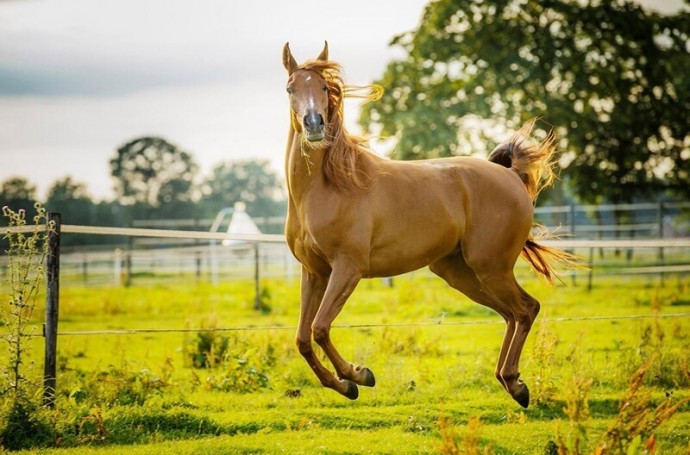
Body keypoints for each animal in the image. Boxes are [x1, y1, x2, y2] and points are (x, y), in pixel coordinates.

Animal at [280, 41, 568, 408]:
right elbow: (303, 338)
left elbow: (319, 328)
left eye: (324, 88)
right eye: (291, 88)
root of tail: (509, 176)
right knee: (510, 314)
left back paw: (515, 384)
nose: (314, 123)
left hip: (491, 267)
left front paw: (358, 375)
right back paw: (508, 380)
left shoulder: (347, 268)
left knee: (526, 309)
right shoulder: (314, 272)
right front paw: (345, 385)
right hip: (461, 274)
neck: (327, 187)